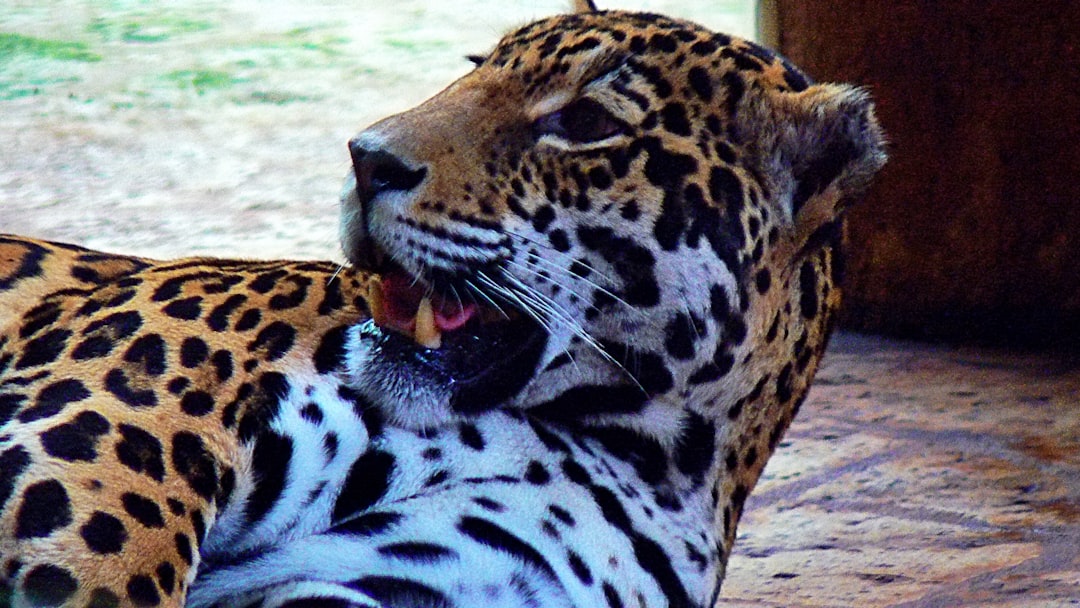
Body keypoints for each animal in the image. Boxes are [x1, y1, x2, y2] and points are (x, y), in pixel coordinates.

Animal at [0, 1, 885, 607]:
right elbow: (105, 566)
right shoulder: (125, 411)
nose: (365, 157)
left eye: (585, 121)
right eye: (475, 67)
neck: (652, 455)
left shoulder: (398, 583)